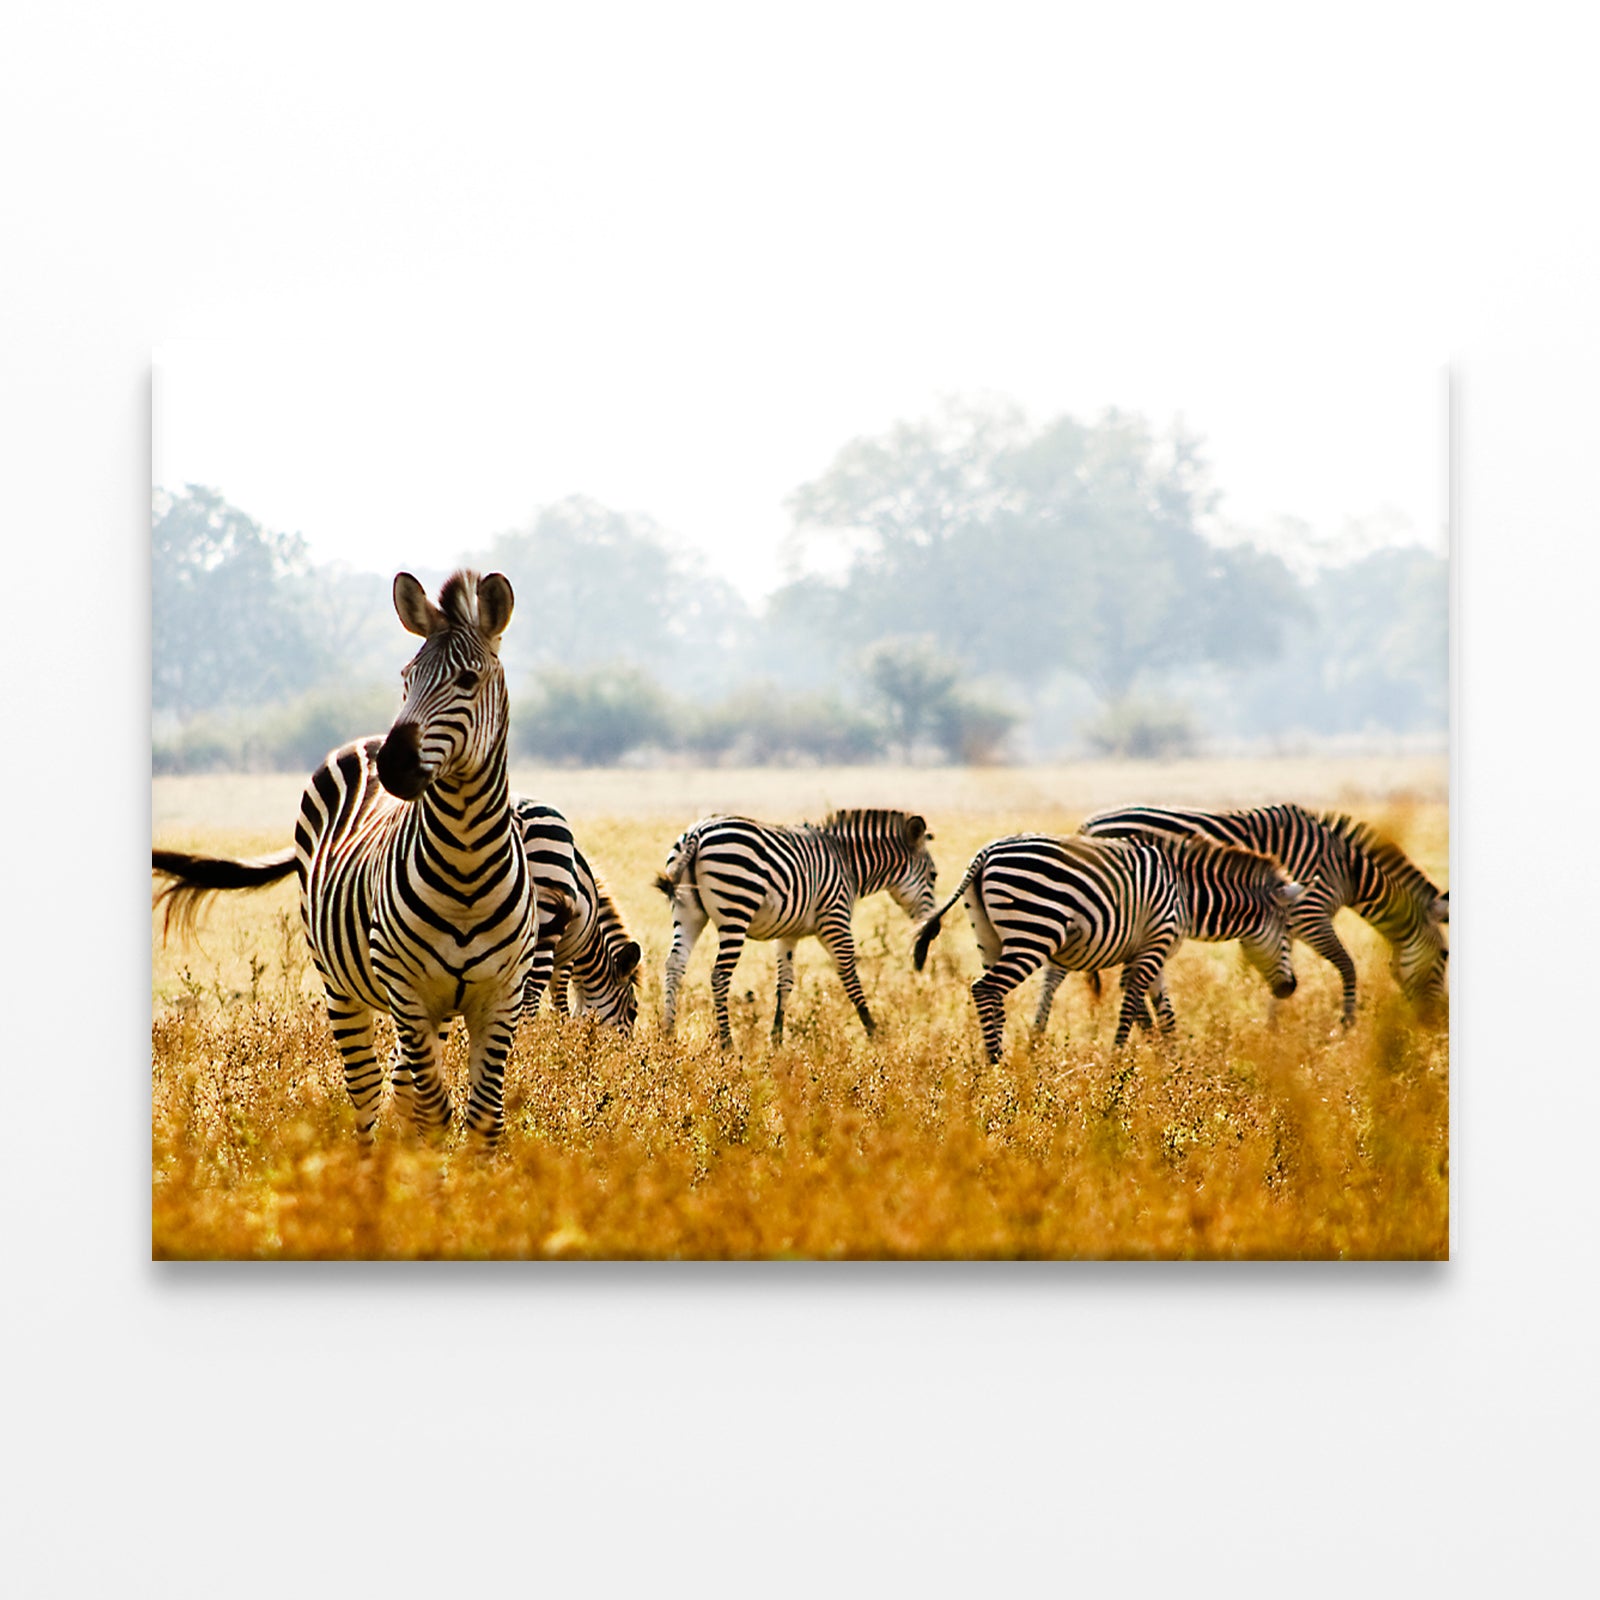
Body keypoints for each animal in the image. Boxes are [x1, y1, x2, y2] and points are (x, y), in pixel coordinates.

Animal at [152, 569, 538, 1147]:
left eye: (468, 681)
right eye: (406, 677)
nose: (393, 765)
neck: (466, 861)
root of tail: (367, 740)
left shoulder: (501, 996)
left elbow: (483, 1117)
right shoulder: (406, 990)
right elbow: (434, 1110)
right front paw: (428, 1173)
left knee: (400, 1085)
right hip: (342, 986)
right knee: (369, 1090)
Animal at [511, 798, 641, 1032]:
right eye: (632, 1011)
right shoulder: (567, 954)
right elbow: (560, 999)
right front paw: (562, 1032)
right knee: (531, 994)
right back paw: (527, 1037)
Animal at [656, 809, 938, 1048]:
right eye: (934, 876)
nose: (934, 930)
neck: (848, 862)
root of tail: (697, 832)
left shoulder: (788, 934)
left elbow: (785, 983)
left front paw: (777, 1040)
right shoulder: (835, 919)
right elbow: (849, 975)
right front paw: (874, 1033)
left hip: (688, 912)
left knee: (674, 965)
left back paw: (669, 1034)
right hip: (736, 910)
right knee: (719, 975)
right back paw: (727, 1044)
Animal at [912, 833, 1304, 1062]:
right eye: (1288, 928)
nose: (1290, 988)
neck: (1185, 892)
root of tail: (986, 851)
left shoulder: (1152, 949)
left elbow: (1165, 1012)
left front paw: (1172, 1064)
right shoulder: (1154, 946)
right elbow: (1132, 1003)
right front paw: (1118, 1062)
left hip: (989, 938)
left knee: (993, 996)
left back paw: (994, 1065)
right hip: (1035, 931)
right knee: (985, 988)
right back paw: (997, 1062)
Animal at [1076, 803, 1448, 1024]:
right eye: (1446, 955)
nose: (1435, 1023)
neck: (1347, 871)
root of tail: (1087, 825)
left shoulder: (1287, 924)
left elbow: (1279, 974)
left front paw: (1272, 1032)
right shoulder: (1310, 914)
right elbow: (1347, 967)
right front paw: (1346, 1026)